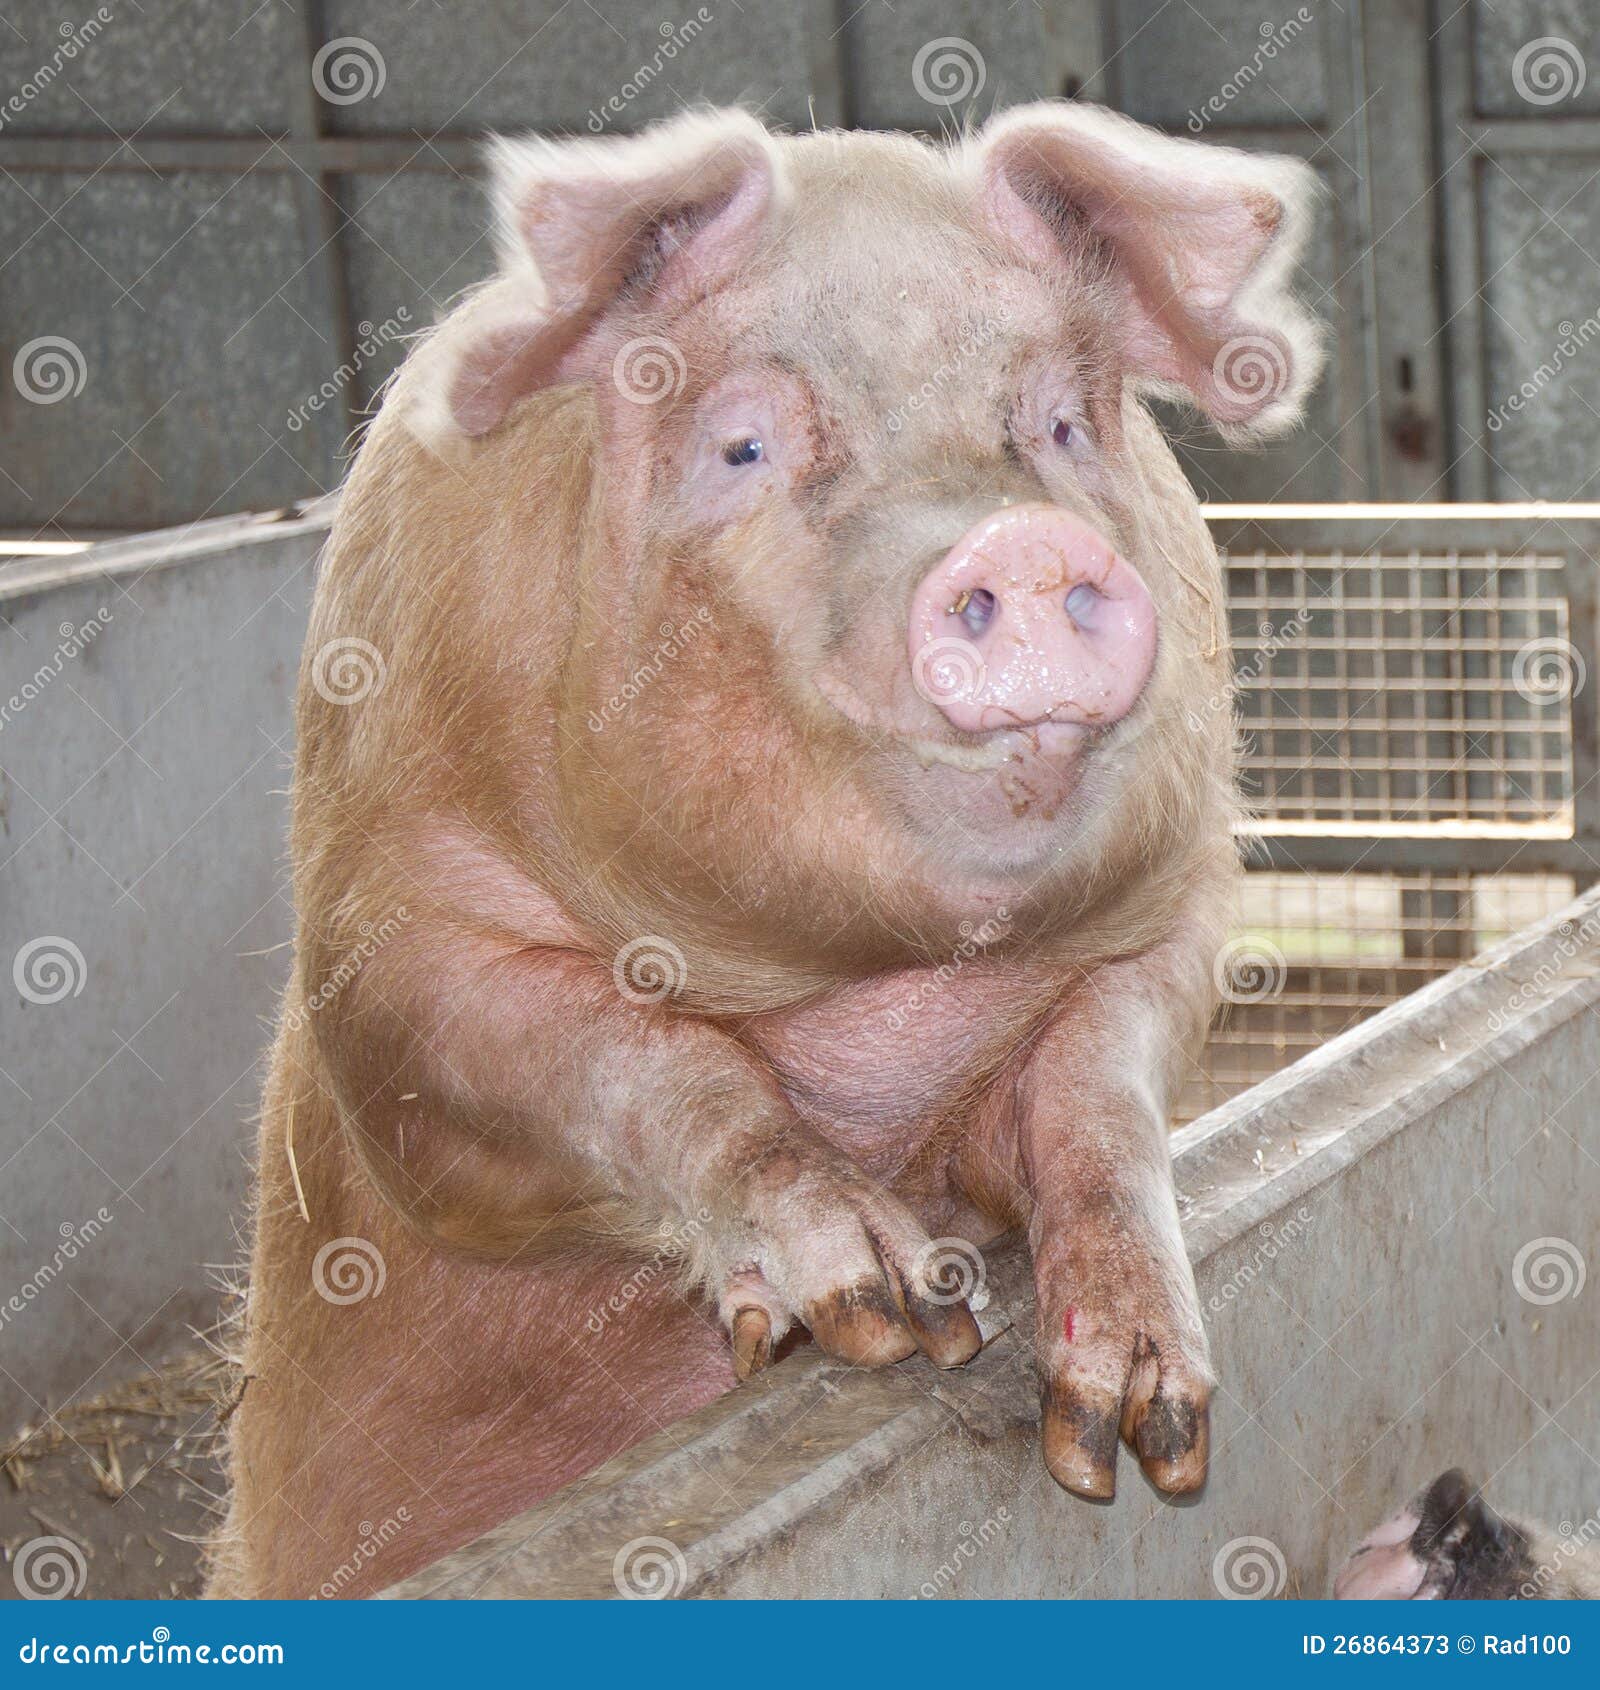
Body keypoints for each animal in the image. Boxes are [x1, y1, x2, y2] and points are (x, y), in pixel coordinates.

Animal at [207, 101, 1321, 1597]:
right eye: (740, 448)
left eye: (1058, 423)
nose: (1022, 545)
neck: (858, 981)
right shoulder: (389, 947)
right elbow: (639, 1058)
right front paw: (894, 1312)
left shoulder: (1184, 901)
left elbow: (1099, 1102)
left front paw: (1132, 1434)